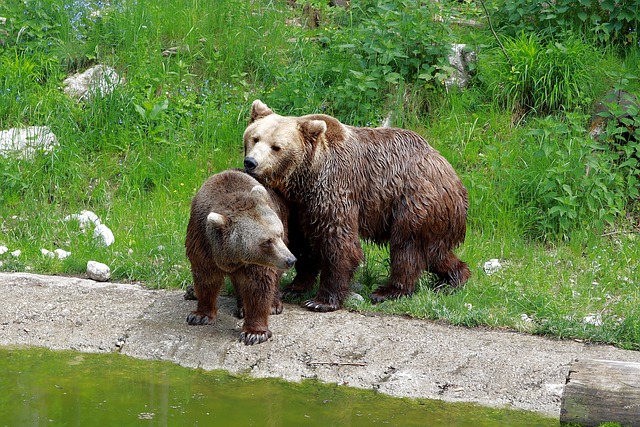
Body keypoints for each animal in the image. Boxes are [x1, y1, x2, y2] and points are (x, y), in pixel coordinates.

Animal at [184, 169, 296, 346]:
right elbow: (206, 278)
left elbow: (259, 285)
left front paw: (254, 333)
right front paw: (199, 315)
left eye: (279, 233)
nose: (290, 260)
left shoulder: (258, 261)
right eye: (266, 242)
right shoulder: (202, 241)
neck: (233, 256)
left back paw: (272, 305)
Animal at [242, 100, 468, 314]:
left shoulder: (334, 187)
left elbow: (338, 242)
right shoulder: (298, 206)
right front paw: (294, 287)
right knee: (434, 251)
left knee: (407, 247)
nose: (251, 162)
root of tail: (453, 176)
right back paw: (454, 278)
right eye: (255, 138)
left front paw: (321, 301)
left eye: (276, 147)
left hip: (416, 201)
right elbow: (302, 243)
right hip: (436, 214)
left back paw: (388, 291)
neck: (304, 179)